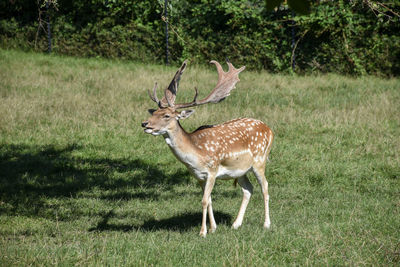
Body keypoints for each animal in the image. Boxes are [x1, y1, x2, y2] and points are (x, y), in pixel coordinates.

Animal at [141, 59, 276, 238]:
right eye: (154, 112)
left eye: (166, 115)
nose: (145, 124)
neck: (195, 156)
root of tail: (270, 129)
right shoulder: (198, 176)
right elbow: (210, 199)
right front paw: (213, 228)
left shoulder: (212, 170)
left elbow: (204, 200)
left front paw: (203, 232)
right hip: (240, 170)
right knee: (248, 189)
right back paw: (236, 224)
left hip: (260, 160)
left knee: (265, 186)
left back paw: (266, 224)